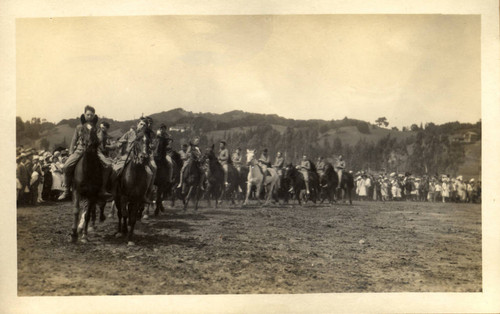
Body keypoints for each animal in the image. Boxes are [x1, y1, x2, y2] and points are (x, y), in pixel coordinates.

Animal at [70, 115, 102, 243]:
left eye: (95, 130)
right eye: (83, 130)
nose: (90, 146)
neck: (88, 170)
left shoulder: (92, 194)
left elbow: (87, 214)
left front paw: (84, 235)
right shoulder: (77, 191)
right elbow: (76, 211)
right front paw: (73, 234)